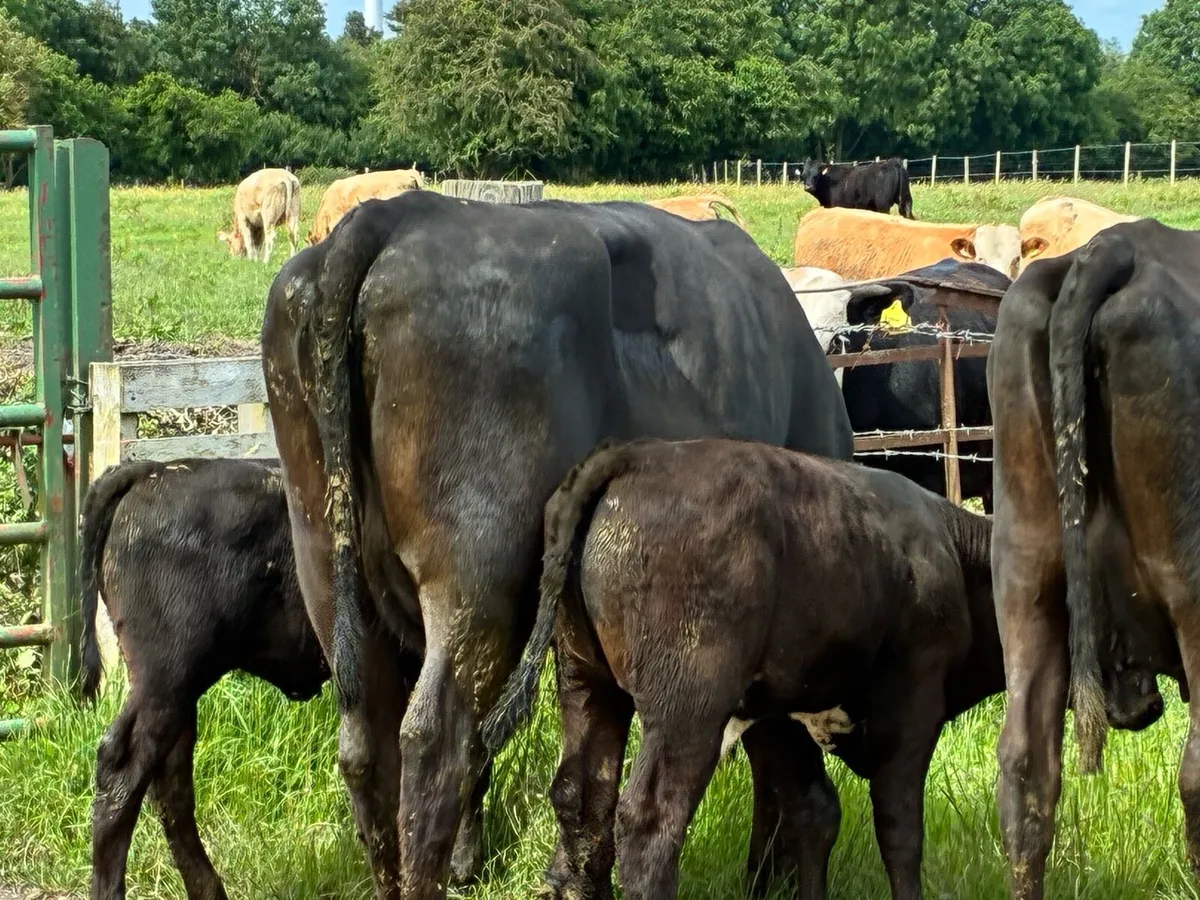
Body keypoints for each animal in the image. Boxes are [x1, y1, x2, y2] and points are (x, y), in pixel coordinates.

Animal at [79, 458, 481, 900]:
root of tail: (153, 470)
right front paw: (462, 863)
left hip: (177, 692)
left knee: (170, 783)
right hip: (166, 679)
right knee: (125, 767)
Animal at [481, 436, 1168, 900]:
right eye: (1108, 600)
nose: (1153, 701)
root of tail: (636, 453)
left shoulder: (777, 714)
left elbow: (813, 813)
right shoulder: (912, 709)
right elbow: (899, 829)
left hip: (586, 683)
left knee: (582, 796)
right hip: (687, 708)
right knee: (649, 822)